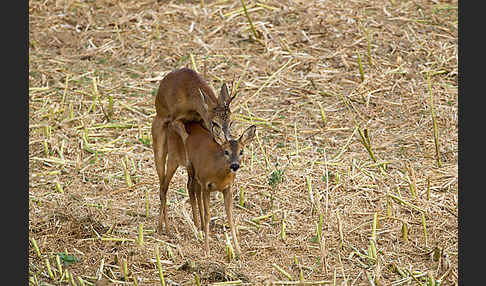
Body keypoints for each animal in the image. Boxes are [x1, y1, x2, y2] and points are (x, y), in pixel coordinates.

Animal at [159, 120, 258, 255]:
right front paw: (207, 250)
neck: (218, 174)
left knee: (191, 188)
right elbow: (207, 215)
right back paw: (164, 230)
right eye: (226, 151)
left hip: (192, 171)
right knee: (164, 187)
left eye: (241, 151)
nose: (235, 165)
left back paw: (197, 227)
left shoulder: (227, 188)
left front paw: (238, 251)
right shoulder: (207, 185)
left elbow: (230, 217)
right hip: (174, 157)